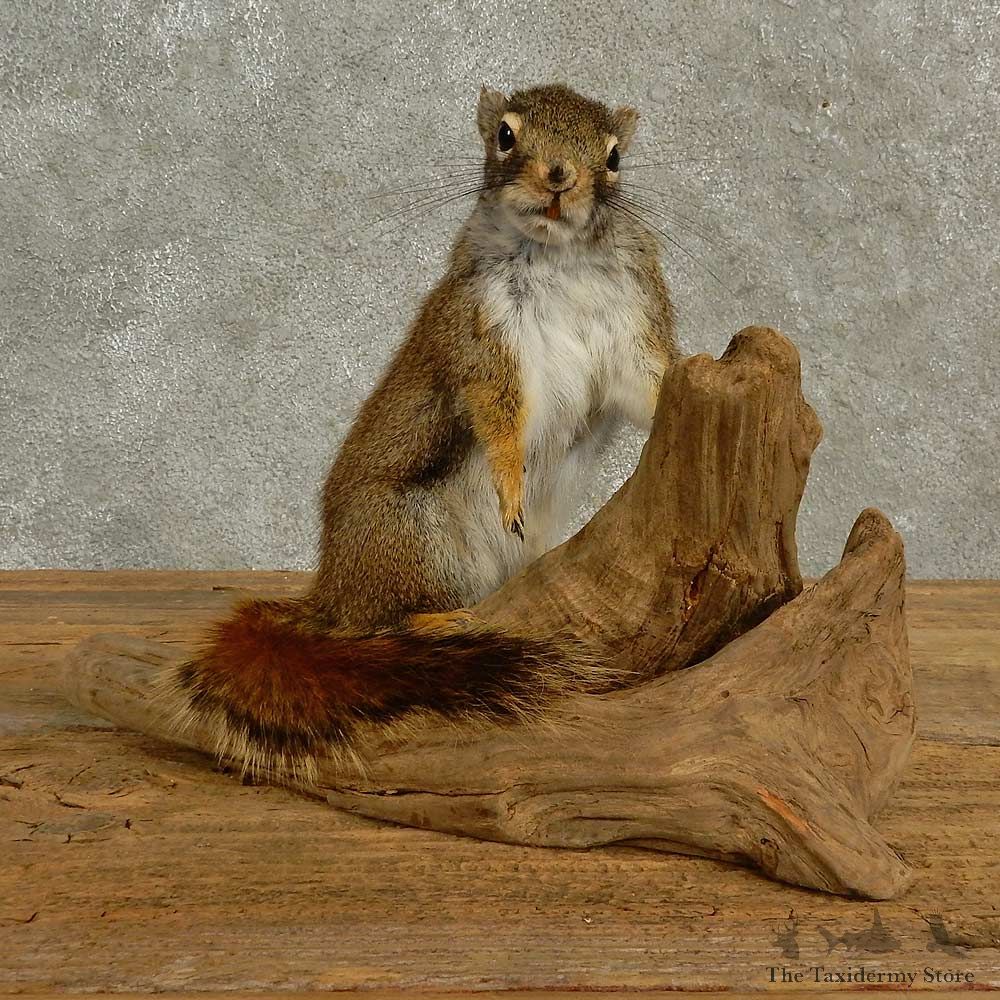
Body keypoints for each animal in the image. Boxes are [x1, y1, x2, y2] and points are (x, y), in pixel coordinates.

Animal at [165, 83, 678, 777]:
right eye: (506, 136)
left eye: (616, 156)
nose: (560, 178)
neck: (561, 255)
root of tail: (333, 593)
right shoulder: (478, 335)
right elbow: (498, 413)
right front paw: (511, 483)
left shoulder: (631, 322)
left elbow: (647, 386)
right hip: (411, 537)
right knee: (377, 628)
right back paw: (435, 624)